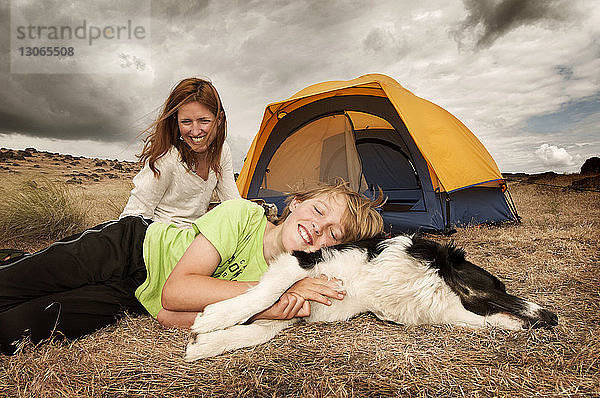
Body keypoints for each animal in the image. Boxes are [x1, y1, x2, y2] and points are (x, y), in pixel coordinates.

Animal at [185, 233, 560, 360]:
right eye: (499, 286)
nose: (554, 317)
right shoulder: (304, 260)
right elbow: (264, 295)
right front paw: (213, 319)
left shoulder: (302, 307)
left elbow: (259, 328)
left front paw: (204, 344)